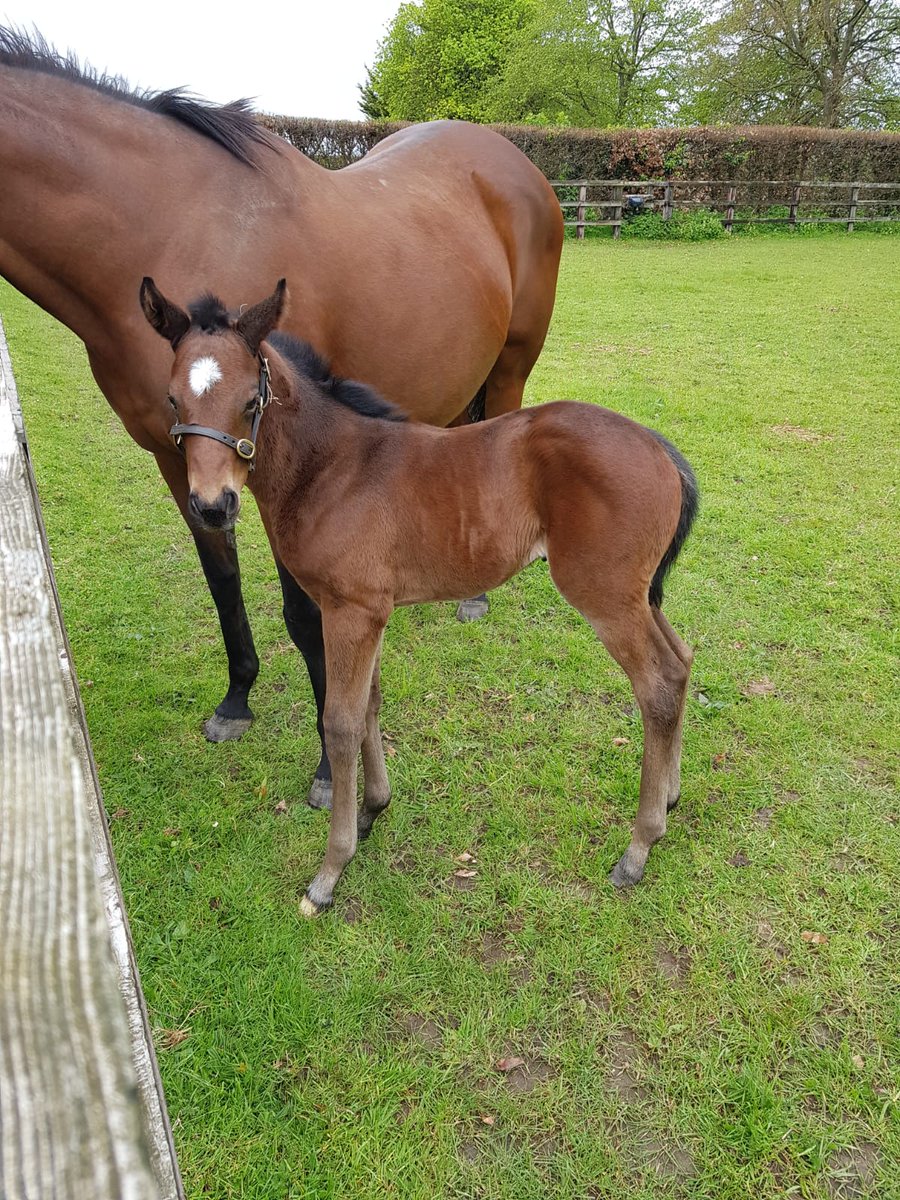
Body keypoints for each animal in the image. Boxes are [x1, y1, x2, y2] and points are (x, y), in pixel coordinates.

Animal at [0, 30, 564, 806]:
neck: (165, 226)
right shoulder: (182, 459)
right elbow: (223, 583)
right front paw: (237, 700)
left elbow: (304, 617)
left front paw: (331, 768)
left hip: (508, 369)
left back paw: (473, 597)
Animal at [142, 280, 705, 912]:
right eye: (172, 400)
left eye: (249, 400)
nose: (213, 506)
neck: (332, 469)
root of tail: (659, 449)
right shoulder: (369, 612)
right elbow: (369, 705)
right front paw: (372, 810)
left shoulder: (349, 611)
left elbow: (340, 722)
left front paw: (331, 870)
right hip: (640, 595)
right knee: (681, 662)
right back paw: (670, 798)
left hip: (605, 595)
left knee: (657, 685)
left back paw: (639, 847)